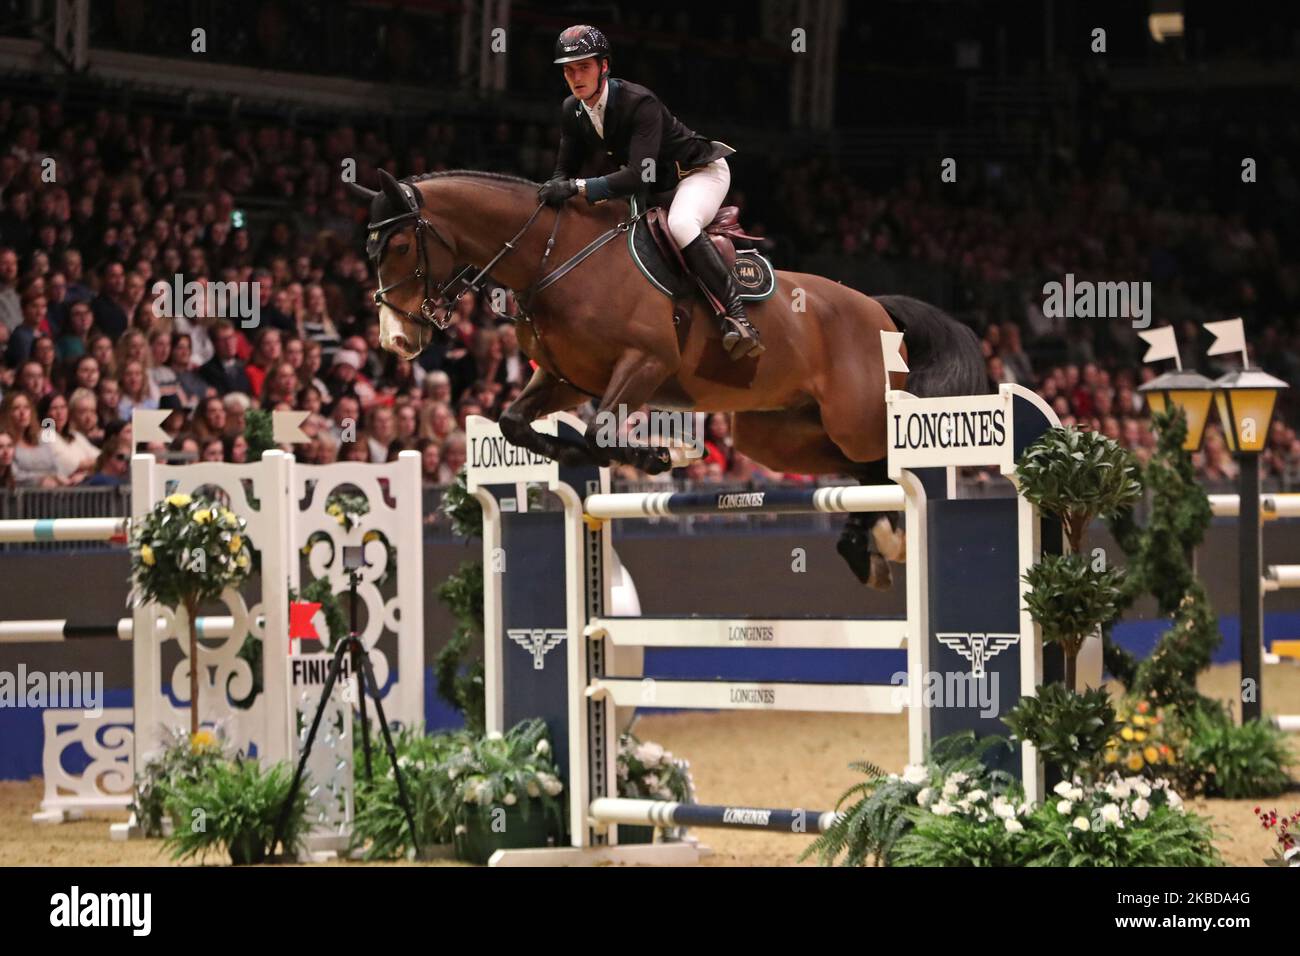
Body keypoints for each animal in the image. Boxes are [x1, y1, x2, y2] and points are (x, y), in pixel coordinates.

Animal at [351, 172, 977, 590]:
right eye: (370, 250)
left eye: (400, 245)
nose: (395, 341)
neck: (552, 258)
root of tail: (876, 306)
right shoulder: (563, 378)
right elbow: (516, 423)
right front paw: (601, 458)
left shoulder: (643, 364)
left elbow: (600, 432)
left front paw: (658, 454)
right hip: (775, 437)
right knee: (859, 468)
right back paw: (867, 544)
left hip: (854, 417)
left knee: (884, 459)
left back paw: (884, 538)